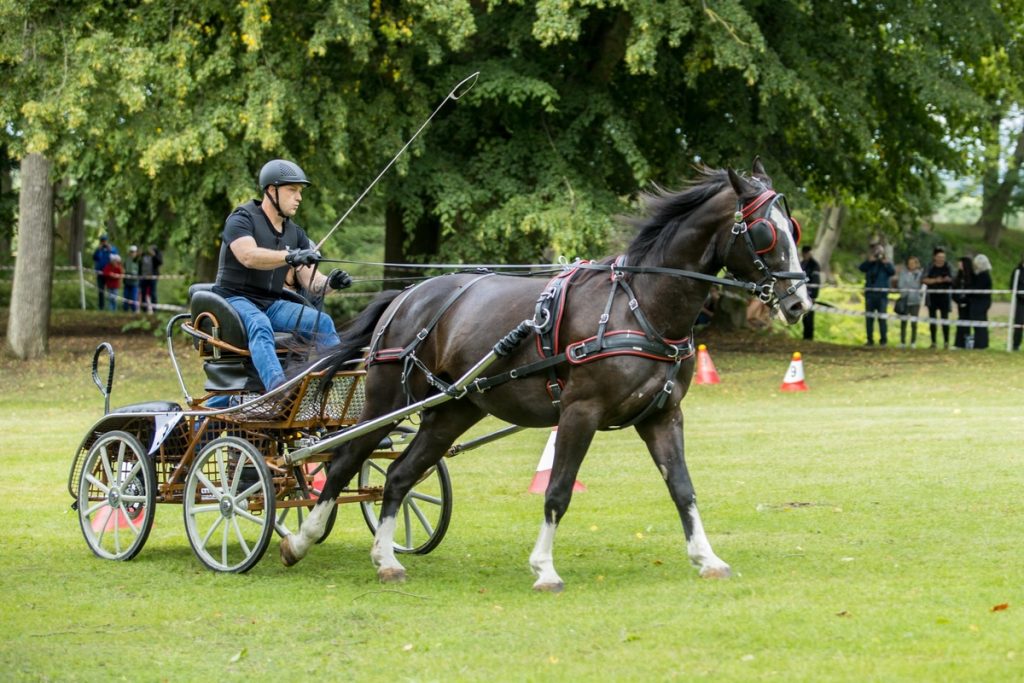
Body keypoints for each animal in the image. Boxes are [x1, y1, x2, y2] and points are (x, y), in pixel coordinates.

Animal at [281, 158, 812, 591]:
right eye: (764, 232)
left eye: (793, 228)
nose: (800, 303)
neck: (639, 306)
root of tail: (408, 294)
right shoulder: (580, 412)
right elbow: (557, 491)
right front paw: (545, 569)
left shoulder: (662, 416)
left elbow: (682, 487)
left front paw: (707, 558)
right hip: (387, 401)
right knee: (344, 462)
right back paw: (300, 540)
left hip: (453, 410)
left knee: (397, 476)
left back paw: (386, 559)